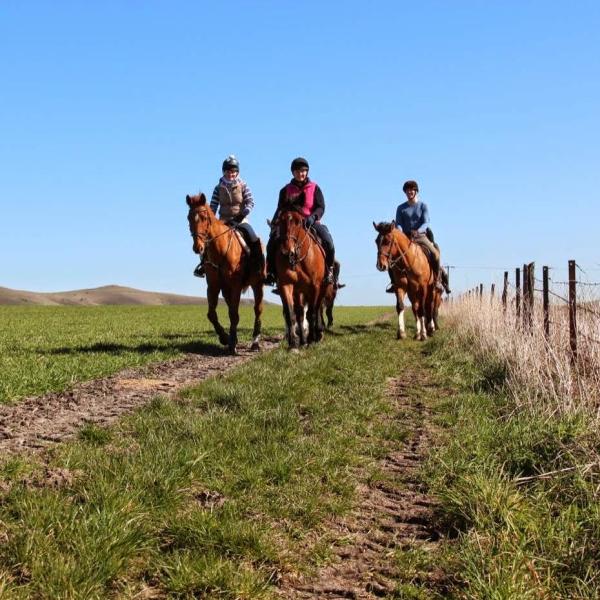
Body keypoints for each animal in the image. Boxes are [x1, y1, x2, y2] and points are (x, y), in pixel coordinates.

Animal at [186, 192, 264, 354]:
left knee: (257, 310)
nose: (198, 247)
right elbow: (212, 314)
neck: (220, 250)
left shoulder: (235, 285)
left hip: (257, 284)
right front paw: (225, 338)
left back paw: (255, 343)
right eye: (188, 217)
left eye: (204, 218)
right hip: (225, 289)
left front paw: (232, 343)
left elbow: (234, 314)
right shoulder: (213, 286)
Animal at [274, 211, 326, 346]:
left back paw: (317, 333)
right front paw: (293, 341)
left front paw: (311, 338)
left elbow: (312, 313)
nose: (286, 251)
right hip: (298, 292)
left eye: (298, 223)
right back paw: (303, 339)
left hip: (321, 288)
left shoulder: (315, 287)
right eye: (279, 221)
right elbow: (290, 313)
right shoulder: (286, 285)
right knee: (300, 314)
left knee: (316, 309)